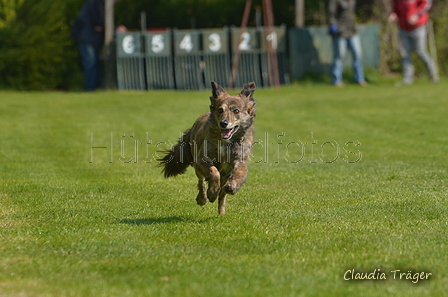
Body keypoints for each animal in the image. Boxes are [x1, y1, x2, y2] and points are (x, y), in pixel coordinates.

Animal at [158, 81, 258, 213]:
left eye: (236, 111)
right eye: (220, 110)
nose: (223, 123)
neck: (225, 142)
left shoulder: (240, 159)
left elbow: (238, 173)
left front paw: (232, 186)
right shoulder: (202, 158)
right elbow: (213, 172)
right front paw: (212, 192)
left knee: (222, 195)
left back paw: (221, 212)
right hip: (198, 166)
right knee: (202, 182)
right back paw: (203, 198)